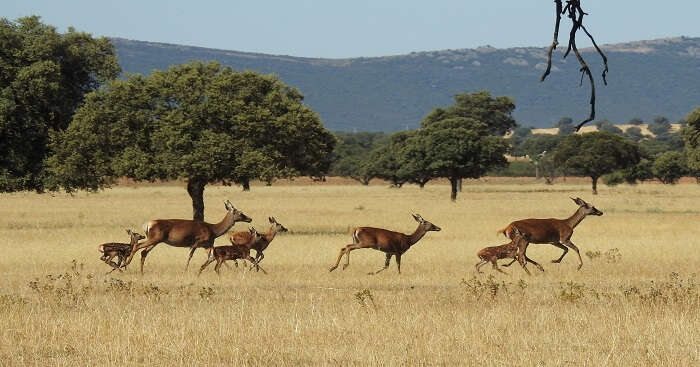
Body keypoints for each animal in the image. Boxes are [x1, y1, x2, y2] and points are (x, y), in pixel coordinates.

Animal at [124, 201, 253, 274]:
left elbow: (212, 256)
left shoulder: (207, 245)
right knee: (137, 246)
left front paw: (230, 269)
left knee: (144, 252)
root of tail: (147, 225)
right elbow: (190, 256)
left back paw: (141, 272)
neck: (213, 230)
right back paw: (126, 264)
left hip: (155, 240)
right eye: (240, 213)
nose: (250, 219)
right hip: (154, 238)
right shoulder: (196, 242)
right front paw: (185, 270)